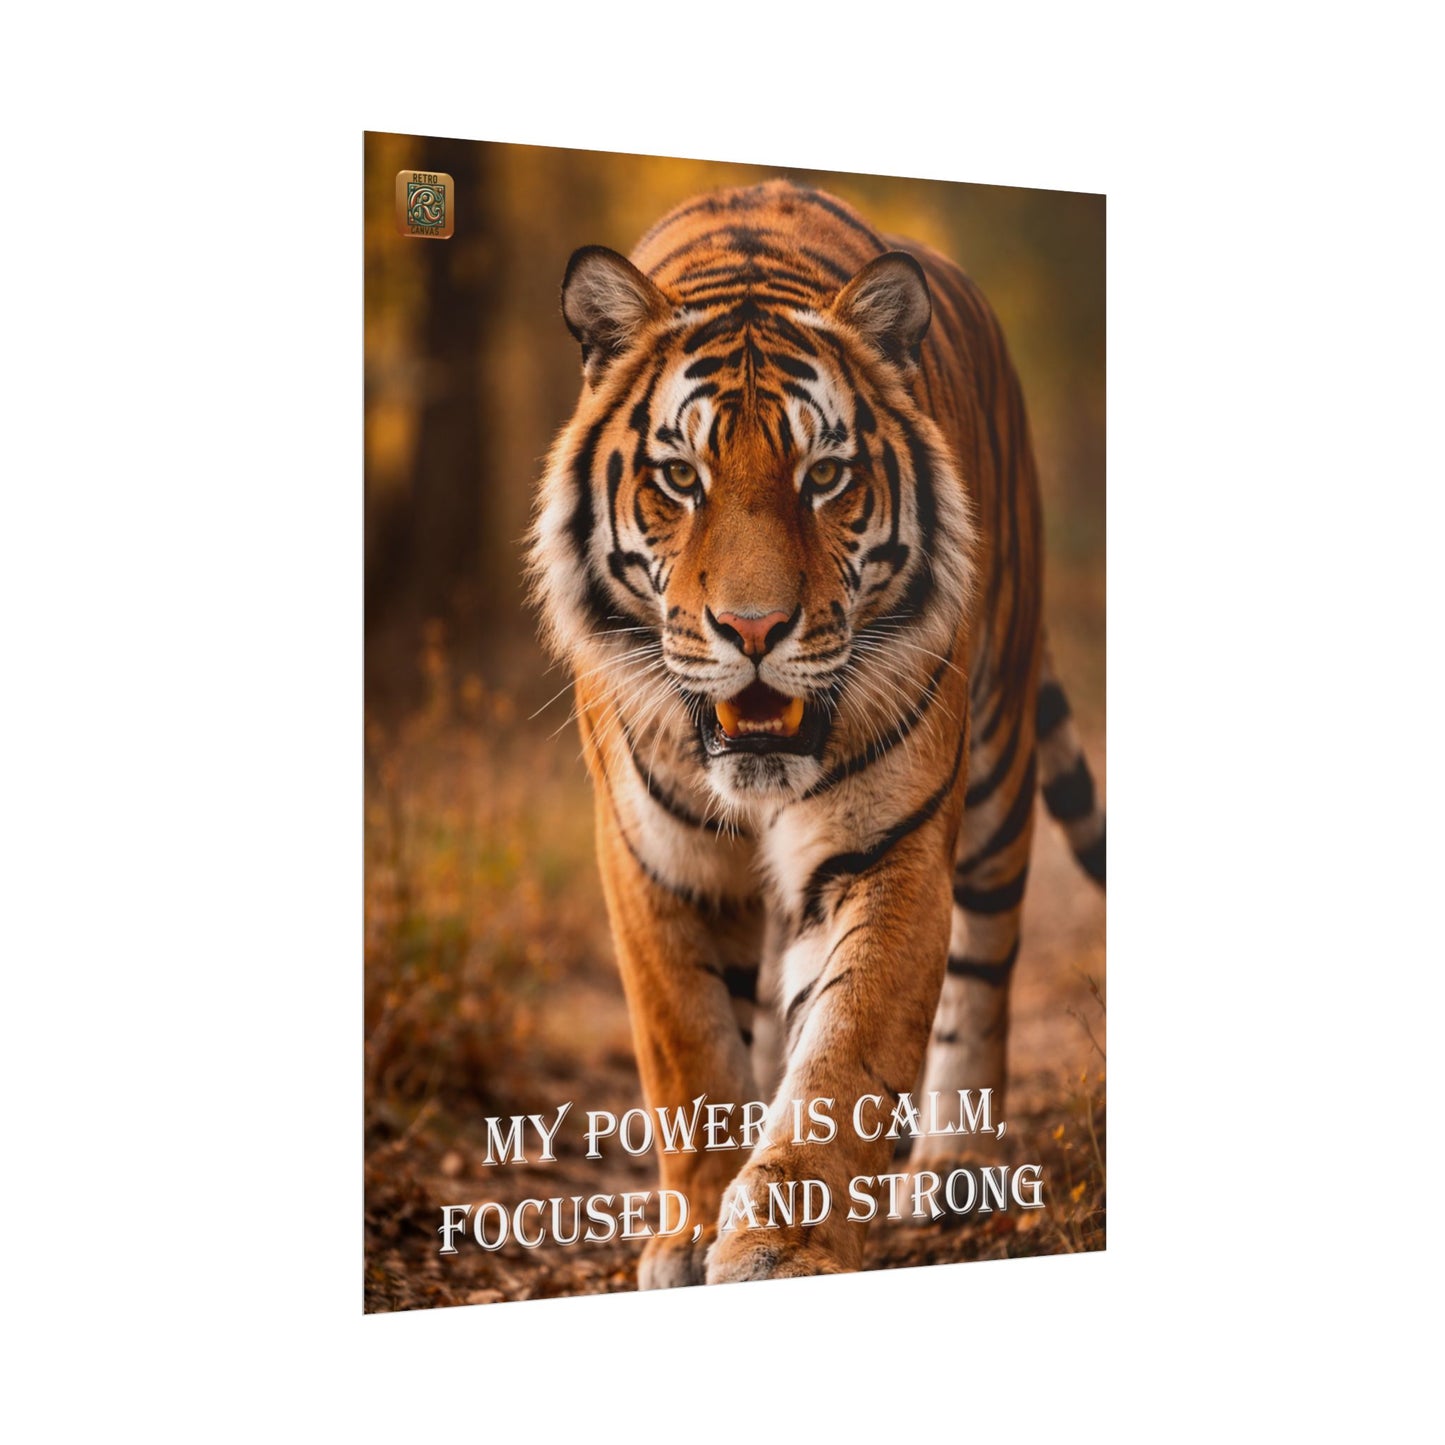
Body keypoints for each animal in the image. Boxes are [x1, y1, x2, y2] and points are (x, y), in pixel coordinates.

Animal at [528, 179, 1105, 1287]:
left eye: (824, 475)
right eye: (680, 478)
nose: (753, 629)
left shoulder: (885, 846)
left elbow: (845, 1049)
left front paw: (782, 1244)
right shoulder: (651, 857)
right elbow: (689, 1047)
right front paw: (693, 1229)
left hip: (996, 769)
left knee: (982, 967)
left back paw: (954, 1165)